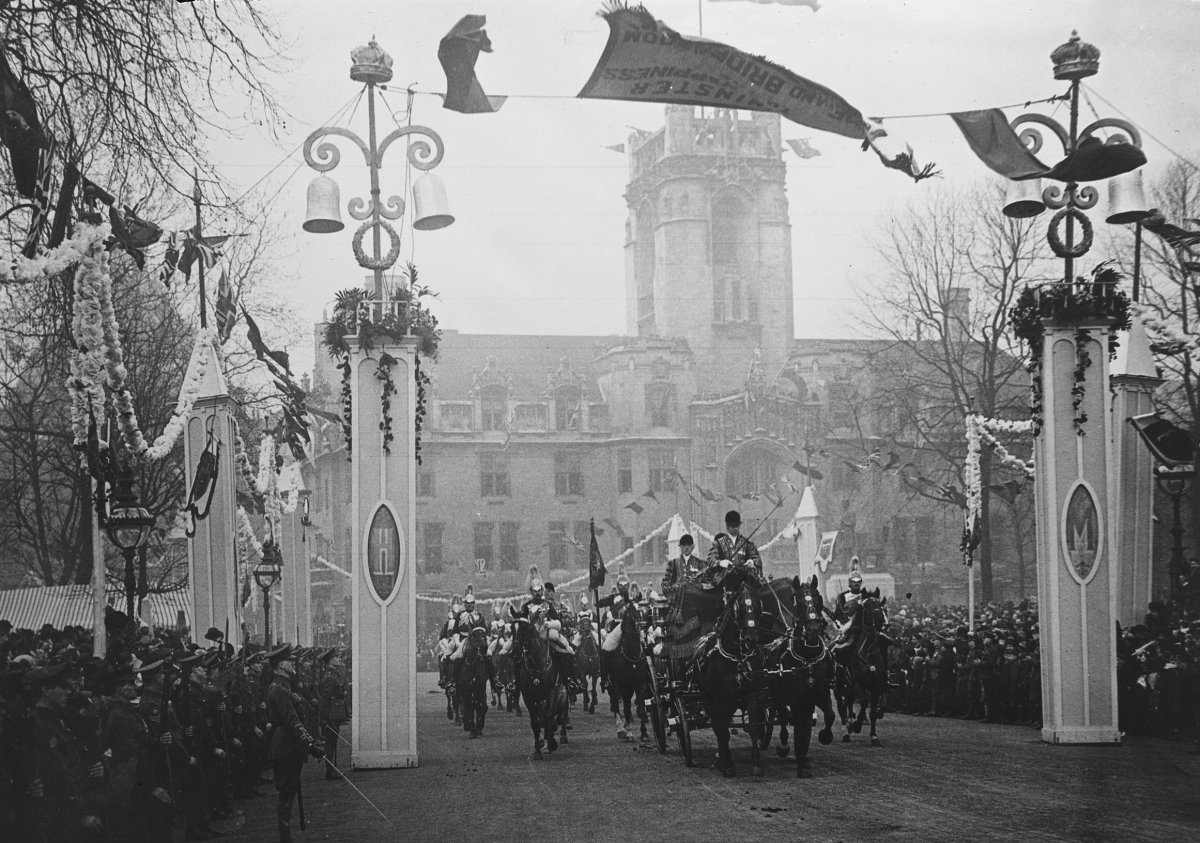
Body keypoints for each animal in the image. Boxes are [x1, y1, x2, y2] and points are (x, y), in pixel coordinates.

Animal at [511, 610, 571, 763]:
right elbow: (535, 720)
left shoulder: (552, 692)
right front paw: (538, 749)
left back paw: (562, 735)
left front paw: (551, 743)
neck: (537, 664)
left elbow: (549, 714)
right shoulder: (529, 697)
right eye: (511, 629)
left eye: (525, 628)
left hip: (563, 690)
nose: (516, 654)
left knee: (563, 708)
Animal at [604, 605, 652, 744]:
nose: (642, 628)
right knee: (616, 704)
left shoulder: (640, 685)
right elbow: (625, 708)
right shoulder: (622, 685)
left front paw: (644, 734)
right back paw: (621, 729)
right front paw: (629, 733)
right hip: (615, 687)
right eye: (631, 614)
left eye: (643, 614)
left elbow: (641, 708)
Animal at [700, 564, 763, 782]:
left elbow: (754, 725)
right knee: (719, 726)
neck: (737, 656)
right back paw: (721, 758)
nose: (751, 639)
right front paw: (727, 765)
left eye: (758, 605)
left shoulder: (752, 692)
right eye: (740, 607)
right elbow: (722, 731)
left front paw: (756, 763)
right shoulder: (720, 698)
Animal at [768, 574, 835, 778]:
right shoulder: (796, 696)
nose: (813, 629)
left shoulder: (819, 692)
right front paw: (800, 759)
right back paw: (783, 745)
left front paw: (824, 736)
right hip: (777, 694)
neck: (807, 657)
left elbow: (829, 715)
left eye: (818, 599)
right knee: (782, 715)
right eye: (797, 601)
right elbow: (797, 724)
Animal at [835, 590, 892, 749]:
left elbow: (872, 711)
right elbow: (864, 702)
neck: (867, 652)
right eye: (867, 606)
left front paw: (874, 736)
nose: (881, 622)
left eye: (881, 606)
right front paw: (857, 725)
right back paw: (846, 731)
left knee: (848, 704)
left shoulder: (876, 686)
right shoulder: (858, 684)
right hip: (839, 686)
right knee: (842, 707)